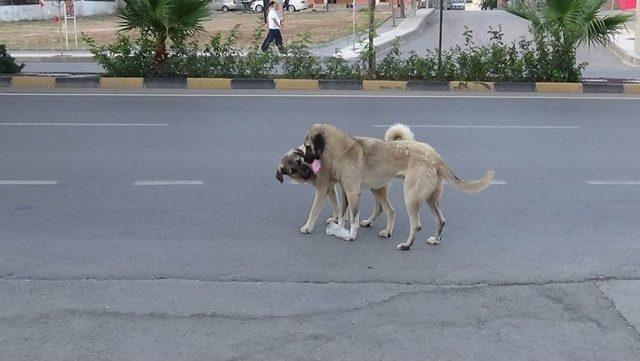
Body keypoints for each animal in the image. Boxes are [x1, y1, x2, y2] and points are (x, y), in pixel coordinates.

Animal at [276, 124, 416, 236]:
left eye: (300, 161)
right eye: (292, 171)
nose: (307, 161)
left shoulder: (324, 189)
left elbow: (315, 210)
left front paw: (308, 226)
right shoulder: (334, 188)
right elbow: (337, 206)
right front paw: (337, 221)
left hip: (377, 188)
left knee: (390, 210)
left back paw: (387, 231)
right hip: (376, 187)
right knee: (380, 208)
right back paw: (369, 222)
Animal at [304, 122, 496, 249]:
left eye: (307, 147)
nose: (304, 160)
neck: (343, 150)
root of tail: (435, 157)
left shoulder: (352, 192)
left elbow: (353, 217)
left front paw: (351, 234)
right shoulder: (345, 192)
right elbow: (344, 214)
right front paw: (339, 227)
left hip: (410, 196)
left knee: (415, 224)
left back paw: (406, 245)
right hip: (429, 198)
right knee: (440, 220)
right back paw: (434, 240)